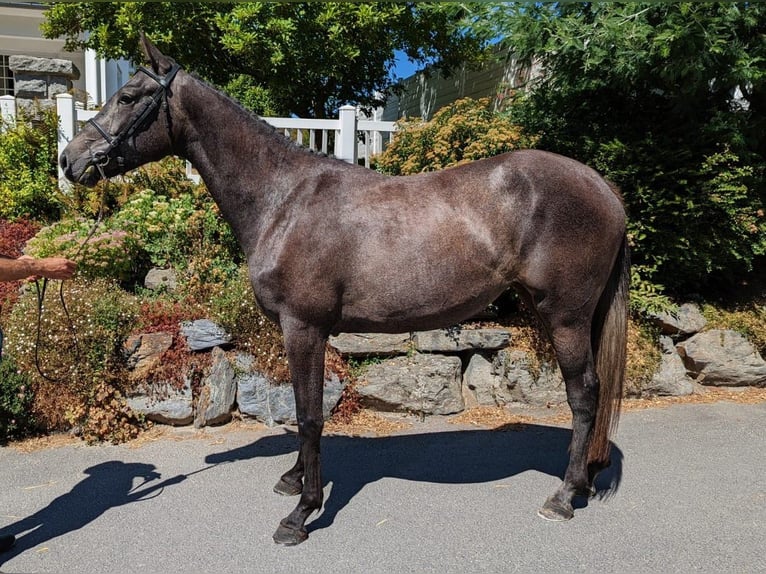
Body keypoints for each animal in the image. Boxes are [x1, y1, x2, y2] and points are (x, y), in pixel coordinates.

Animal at [60, 36, 632, 548]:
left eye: (129, 96)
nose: (69, 161)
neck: (284, 200)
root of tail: (604, 188)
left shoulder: (305, 328)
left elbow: (311, 415)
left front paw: (301, 514)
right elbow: (301, 409)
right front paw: (293, 480)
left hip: (565, 316)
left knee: (584, 394)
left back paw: (563, 496)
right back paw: (582, 483)